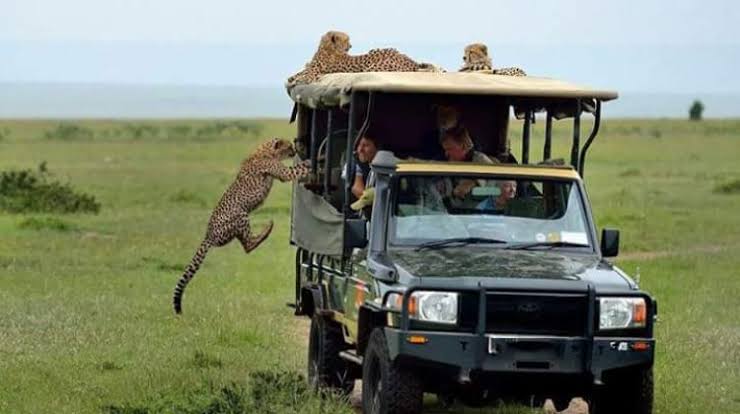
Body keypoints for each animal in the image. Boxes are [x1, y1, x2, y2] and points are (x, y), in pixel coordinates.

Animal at [286, 30, 440, 86]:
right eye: (346, 40)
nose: (351, 45)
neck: (327, 47)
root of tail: (410, 61)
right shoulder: (312, 67)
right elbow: (303, 70)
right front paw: (293, 77)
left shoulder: (318, 70)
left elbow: (307, 74)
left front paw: (298, 79)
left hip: (374, 66)